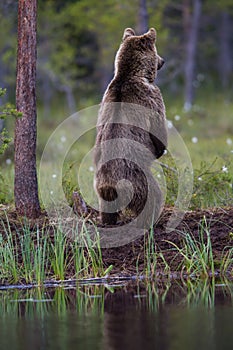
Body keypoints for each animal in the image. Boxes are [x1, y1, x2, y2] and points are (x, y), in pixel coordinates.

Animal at [93, 28, 167, 230]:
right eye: (156, 50)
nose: (163, 61)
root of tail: (109, 184)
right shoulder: (152, 97)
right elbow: (158, 126)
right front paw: (161, 149)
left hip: (101, 188)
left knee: (107, 207)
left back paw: (107, 221)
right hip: (136, 177)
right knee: (152, 196)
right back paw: (152, 221)